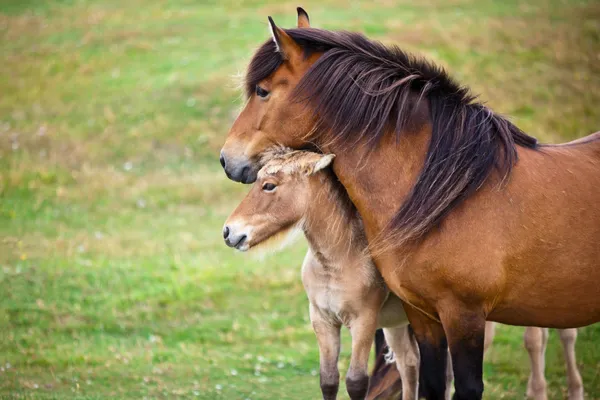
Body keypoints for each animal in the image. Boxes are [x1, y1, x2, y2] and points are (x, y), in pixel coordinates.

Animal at [218, 7, 600, 400]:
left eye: (262, 91)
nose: (225, 159)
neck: (450, 196)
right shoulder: (421, 314)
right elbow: (425, 383)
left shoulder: (462, 316)